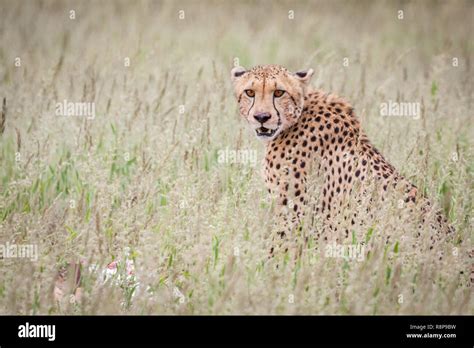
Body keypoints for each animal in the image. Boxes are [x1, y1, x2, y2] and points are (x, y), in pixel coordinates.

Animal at [230, 64, 456, 260]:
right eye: (250, 92)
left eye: (279, 93)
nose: (261, 117)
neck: (298, 114)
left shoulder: (295, 214)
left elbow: (278, 253)